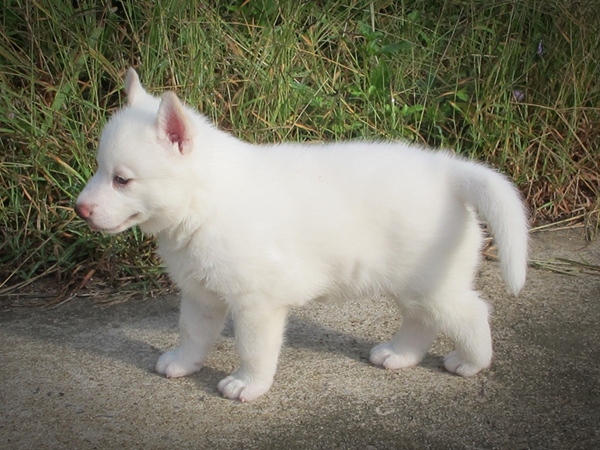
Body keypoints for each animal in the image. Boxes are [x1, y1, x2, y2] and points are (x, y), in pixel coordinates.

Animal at [75, 68, 528, 402]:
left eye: (122, 180)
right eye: (99, 169)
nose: (80, 209)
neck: (206, 201)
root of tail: (450, 170)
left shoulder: (257, 304)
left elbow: (253, 349)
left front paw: (248, 384)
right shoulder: (201, 294)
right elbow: (192, 332)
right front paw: (184, 362)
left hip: (434, 285)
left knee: (472, 313)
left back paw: (472, 362)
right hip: (414, 284)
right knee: (422, 319)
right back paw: (400, 355)